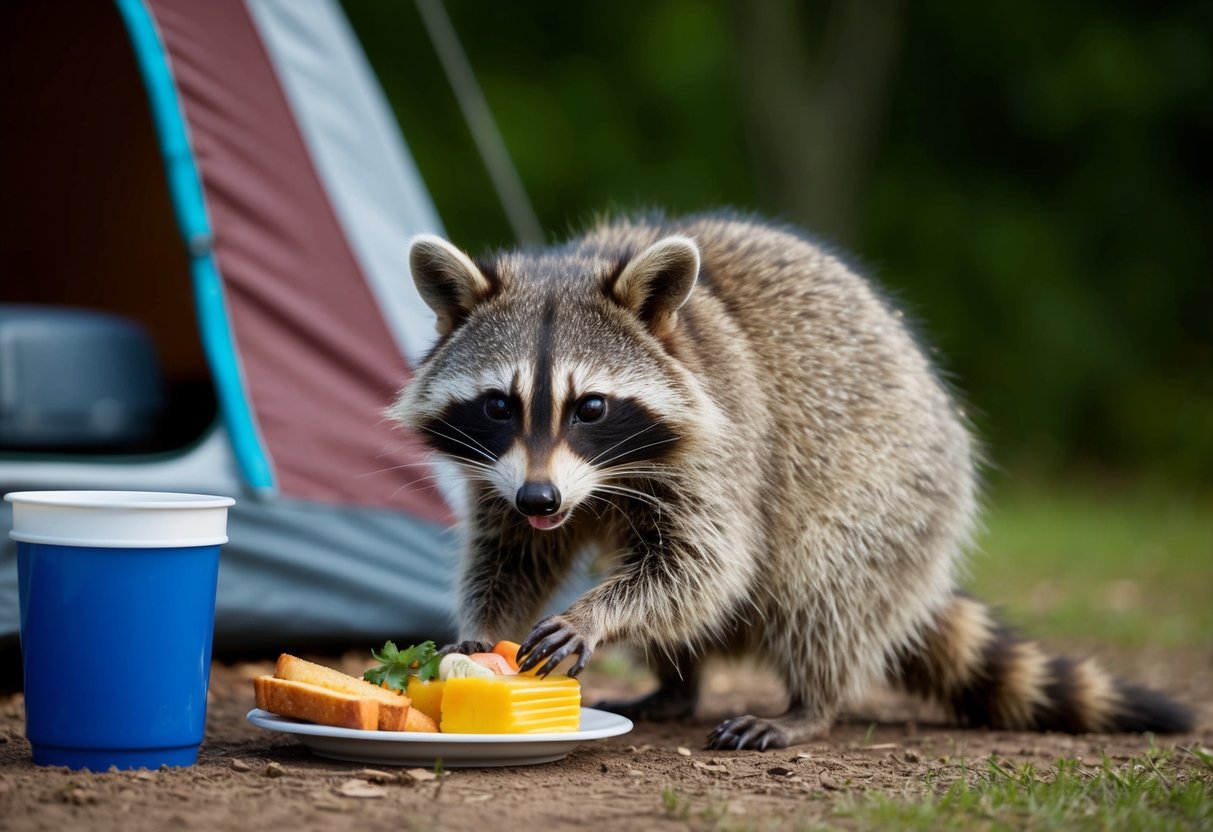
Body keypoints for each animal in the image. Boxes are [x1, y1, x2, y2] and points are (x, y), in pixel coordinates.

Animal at [391, 213, 1192, 749]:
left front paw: (595, 614)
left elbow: (704, 564)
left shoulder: (725, 444)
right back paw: (679, 685)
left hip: (896, 482)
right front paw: (480, 630)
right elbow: (513, 553)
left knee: (824, 583)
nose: (541, 499)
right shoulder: (503, 474)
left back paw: (811, 704)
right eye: (500, 405)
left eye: (590, 407)